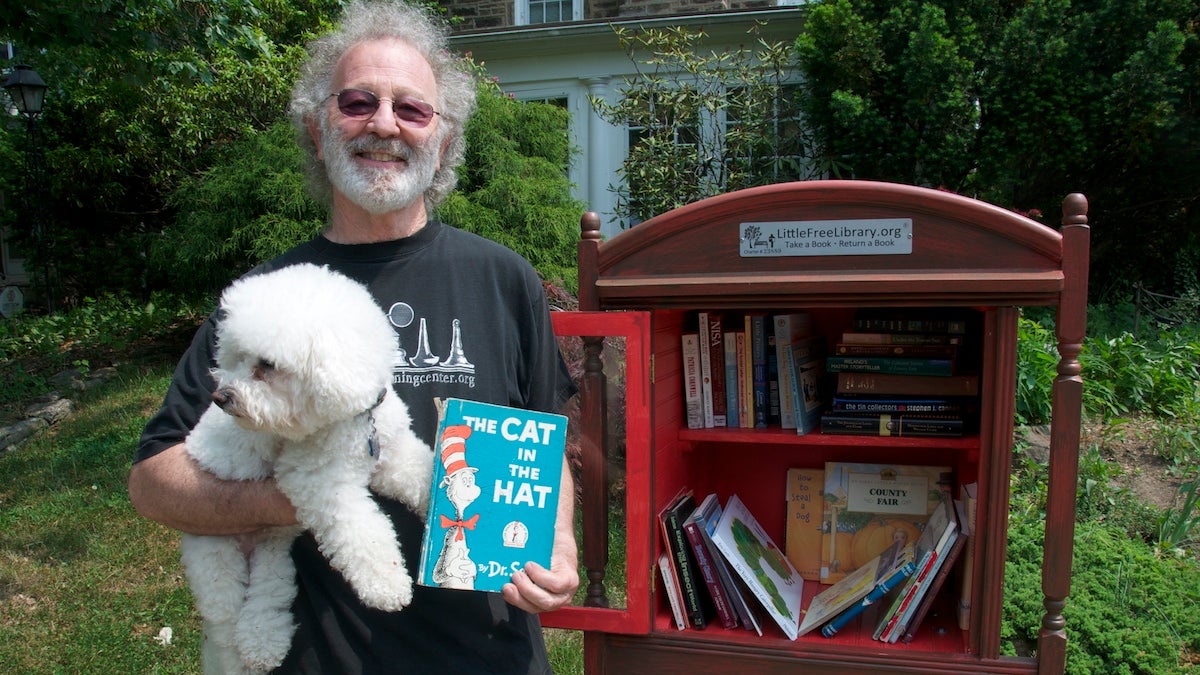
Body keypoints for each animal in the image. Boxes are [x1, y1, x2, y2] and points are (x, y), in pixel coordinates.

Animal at [180, 263, 434, 672]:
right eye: (237, 358)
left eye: (267, 366)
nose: (221, 397)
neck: (353, 418)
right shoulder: (322, 485)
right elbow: (363, 535)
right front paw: (387, 585)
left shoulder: (393, 455)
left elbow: (422, 475)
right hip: (213, 554)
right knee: (224, 622)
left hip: (273, 547)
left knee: (267, 592)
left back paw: (265, 641)